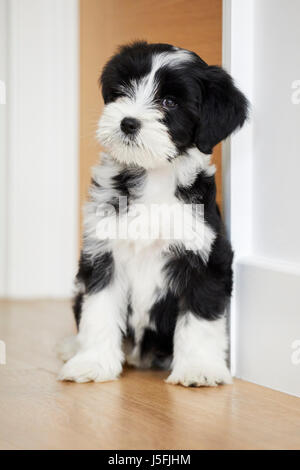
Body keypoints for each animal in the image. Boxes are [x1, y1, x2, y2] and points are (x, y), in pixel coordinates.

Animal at [57, 41, 247, 386]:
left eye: (170, 102)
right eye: (123, 89)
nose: (128, 122)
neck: (154, 177)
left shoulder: (206, 258)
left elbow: (200, 318)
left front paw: (199, 368)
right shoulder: (103, 253)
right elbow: (98, 311)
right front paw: (92, 363)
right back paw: (73, 347)